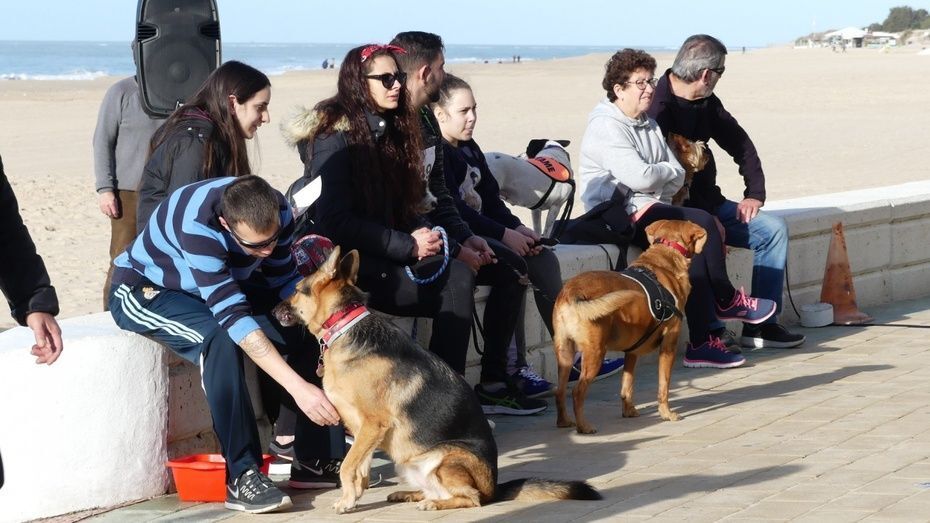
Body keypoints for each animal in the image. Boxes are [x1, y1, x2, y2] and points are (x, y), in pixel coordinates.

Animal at [274, 246, 600, 513]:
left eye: (298, 289)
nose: (274, 309)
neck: (344, 324)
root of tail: (494, 489)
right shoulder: (364, 431)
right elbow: (359, 470)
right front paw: (352, 499)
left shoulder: (371, 426)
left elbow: (348, 467)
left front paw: (346, 500)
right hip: (408, 463)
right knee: (437, 490)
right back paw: (410, 495)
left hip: (445, 458)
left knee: (470, 498)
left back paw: (433, 503)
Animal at [552, 219, 707, 435]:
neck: (664, 256)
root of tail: (572, 291)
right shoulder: (669, 345)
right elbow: (663, 385)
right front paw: (666, 413)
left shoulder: (632, 352)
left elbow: (627, 385)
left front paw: (628, 411)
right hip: (594, 353)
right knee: (577, 392)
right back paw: (584, 426)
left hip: (565, 354)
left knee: (559, 391)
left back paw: (564, 421)